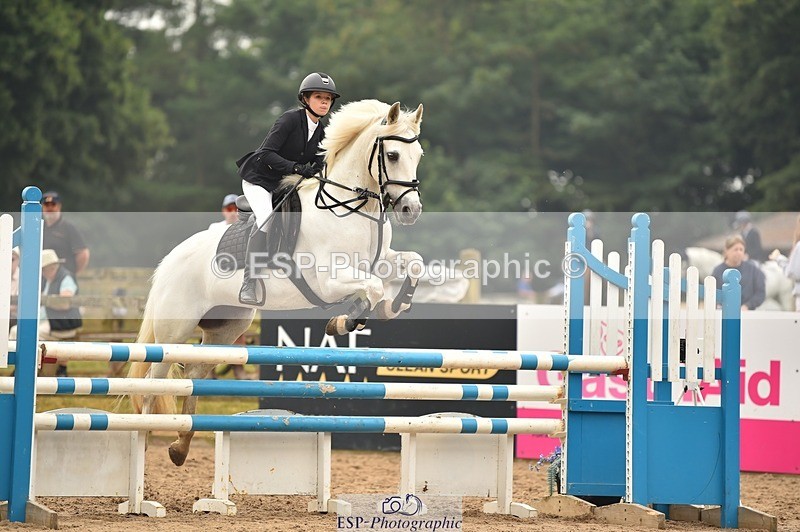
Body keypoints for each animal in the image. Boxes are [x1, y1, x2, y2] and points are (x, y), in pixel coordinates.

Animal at [129, 100, 425, 466]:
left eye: (419, 155)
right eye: (394, 155)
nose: (412, 209)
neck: (349, 209)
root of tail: (169, 262)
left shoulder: (380, 261)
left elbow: (413, 263)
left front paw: (395, 306)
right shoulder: (329, 280)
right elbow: (372, 288)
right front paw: (344, 321)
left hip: (227, 327)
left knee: (194, 374)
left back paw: (181, 446)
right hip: (175, 330)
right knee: (154, 384)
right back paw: (146, 440)